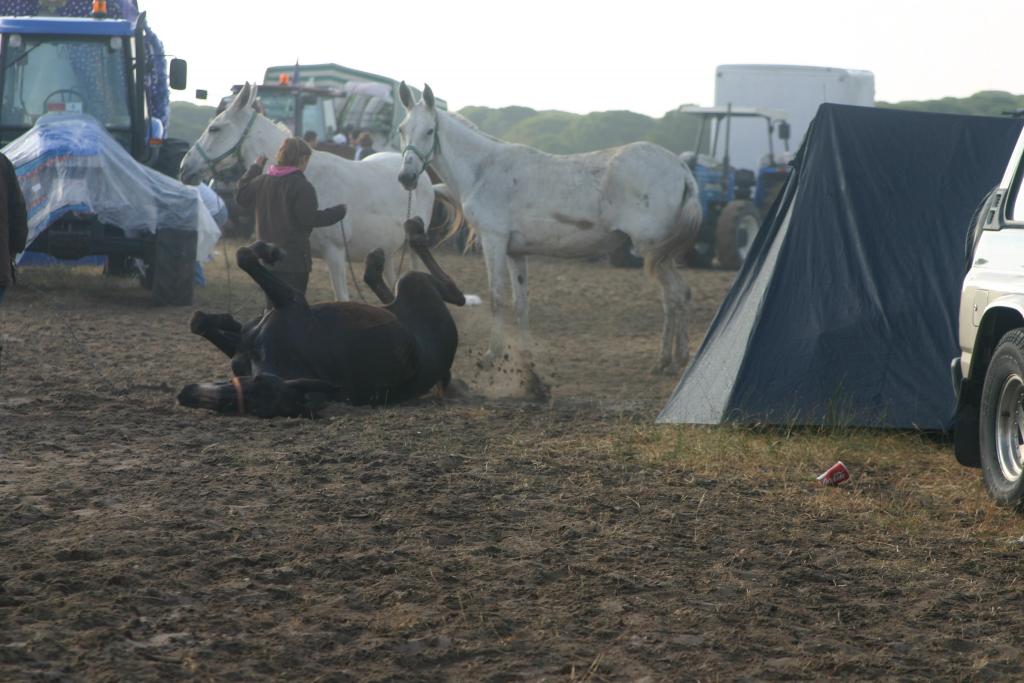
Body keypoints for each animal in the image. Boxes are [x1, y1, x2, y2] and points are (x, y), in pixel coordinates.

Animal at [178, 219, 466, 419]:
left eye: (259, 384)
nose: (187, 394)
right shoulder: (244, 347)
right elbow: (202, 322)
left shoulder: (291, 300)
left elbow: (244, 257)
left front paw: (268, 250)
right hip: (405, 297)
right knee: (391, 296)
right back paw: (376, 263)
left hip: (413, 284)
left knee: (456, 294)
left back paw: (411, 235)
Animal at [180, 81, 456, 299]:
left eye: (215, 128)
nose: (184, 168)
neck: (306, 176)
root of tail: (420, 176)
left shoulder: (335, 254)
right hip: (386, 250)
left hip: (414, 247)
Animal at [395, 85, 700, 376]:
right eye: (402, 129)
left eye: (429, 130)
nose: (406, 177)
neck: (483, 169)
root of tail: (681, 168)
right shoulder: (515, 252)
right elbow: (521, 304)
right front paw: (526, 356)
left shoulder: (494, 241)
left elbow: (496, 299)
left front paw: (491, 356)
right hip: (659, 256)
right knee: (676, 297)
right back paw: (672, 360)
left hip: (653, 251)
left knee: (675, 295)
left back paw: (670, 361)